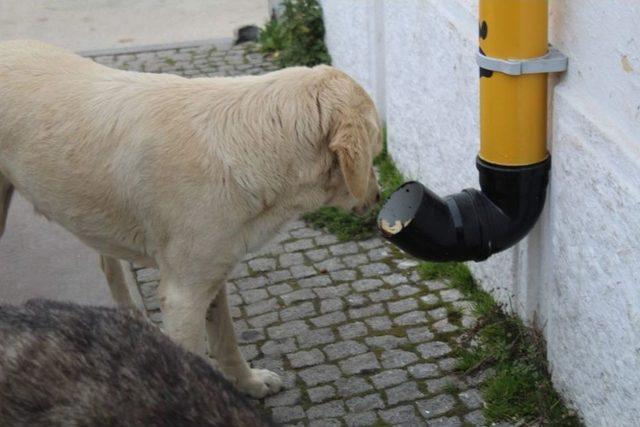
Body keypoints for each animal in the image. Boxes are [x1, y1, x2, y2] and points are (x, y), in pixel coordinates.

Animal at [0, 40, 380, 398]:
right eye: (375, 153)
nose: (378, 197)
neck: (251, 145)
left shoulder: (211, 276)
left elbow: (226, 340)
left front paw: (248, 384)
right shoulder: (183, 297)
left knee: (108, 265)